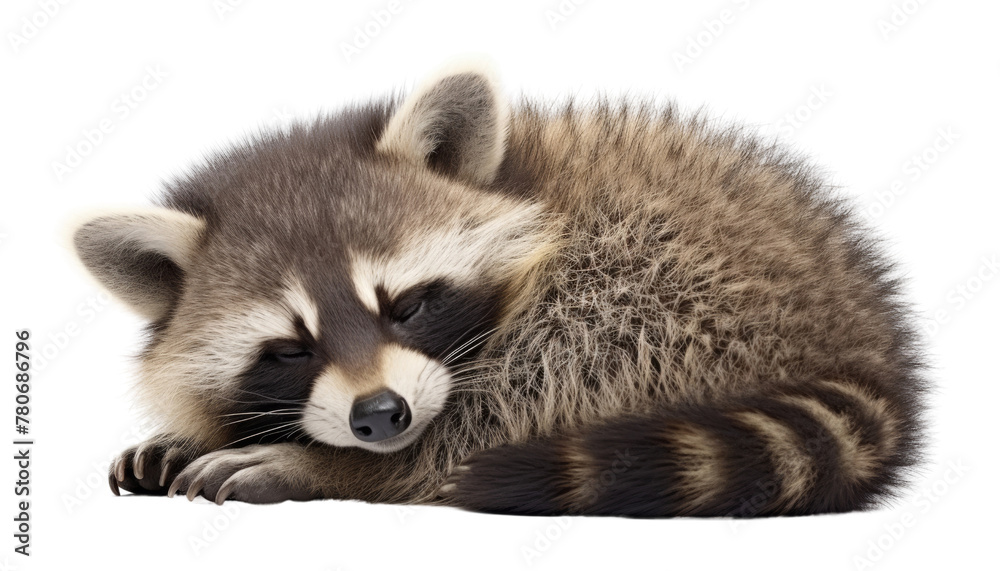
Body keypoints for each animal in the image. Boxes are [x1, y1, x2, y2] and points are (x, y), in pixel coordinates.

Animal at [72, 61, 926, 517]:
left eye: (407, 304)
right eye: (288, 348)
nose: (379, 417)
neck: (524, 180)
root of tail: (859, 325)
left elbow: (489, 412)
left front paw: (320, 460)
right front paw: (203, 429)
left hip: (685, 279)